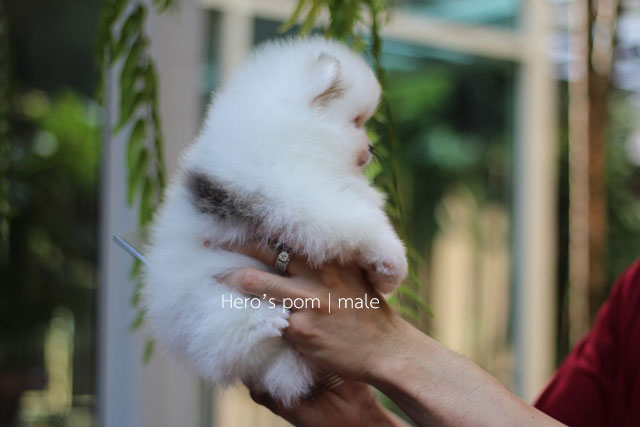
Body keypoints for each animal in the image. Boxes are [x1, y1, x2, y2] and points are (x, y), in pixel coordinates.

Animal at [142, 36, 408, 406]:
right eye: (356, 120)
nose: (370, 147)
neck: (293, 128)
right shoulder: (297, 190)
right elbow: (355, 219)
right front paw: (392, 260)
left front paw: (381, 276)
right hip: (200, 298)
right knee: (221, 334)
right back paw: (262, 321)